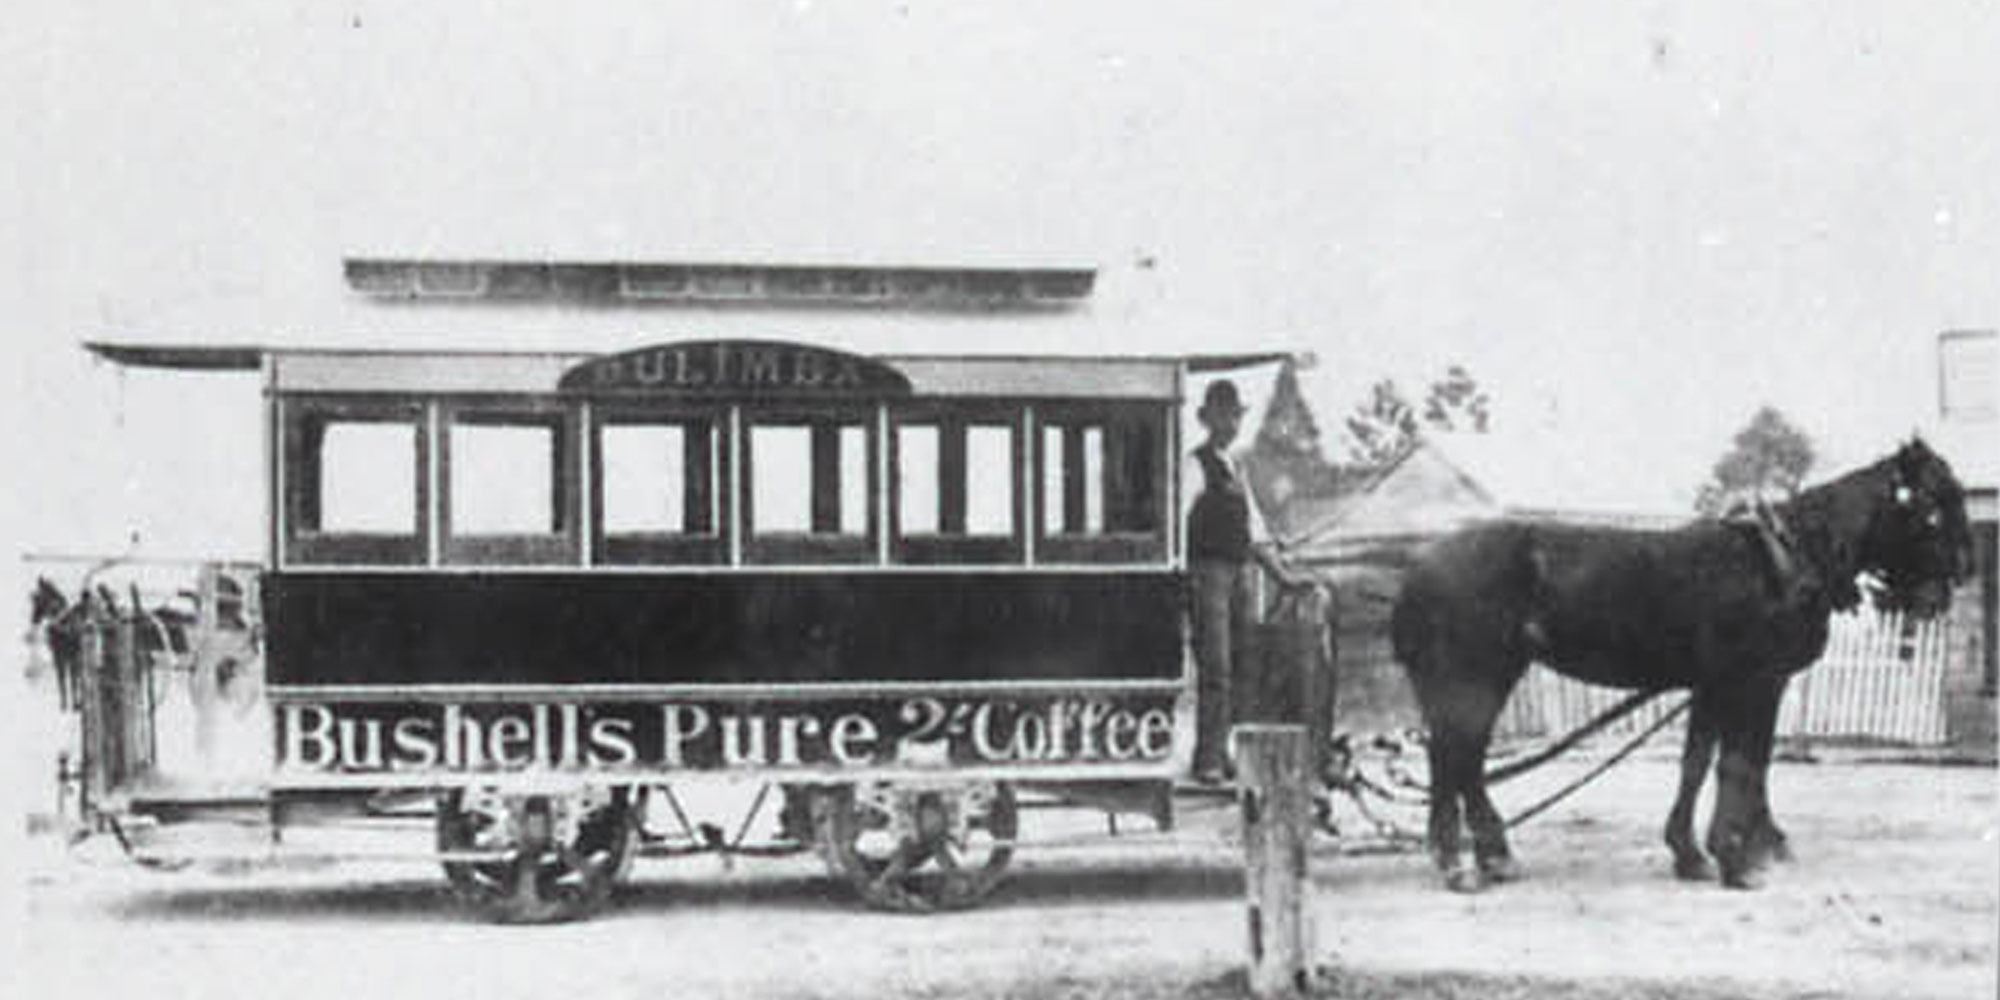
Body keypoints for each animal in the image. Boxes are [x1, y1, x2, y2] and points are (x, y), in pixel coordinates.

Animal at [1400, 438, 1976, 892]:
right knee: (1455, 758)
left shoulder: (1713, 685)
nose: (1965, 570)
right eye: (1933, 507)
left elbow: (1701, 762)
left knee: (1461, 761)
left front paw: (1693, 853)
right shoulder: (1751, 682)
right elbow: (1740, 764)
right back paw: (1460, 864)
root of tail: (1422, 564)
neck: (1784, 561)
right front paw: (1737, 859)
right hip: (1473, 678)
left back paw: (1489, 857)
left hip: (1488, 678)